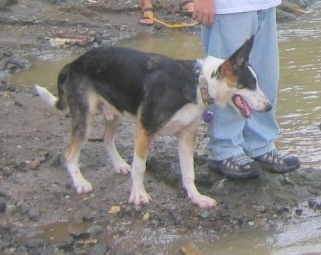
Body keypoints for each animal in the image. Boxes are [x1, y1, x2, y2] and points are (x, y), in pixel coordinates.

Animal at [35, 35, 270, 207]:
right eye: (249, 84)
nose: (268, 107)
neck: (196, 82)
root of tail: (73, 63)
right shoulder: (144, 130)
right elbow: (140, 166)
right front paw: (138, 194)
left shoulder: (186, 136)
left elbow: (189, 173)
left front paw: (196, 197)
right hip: (85, 118)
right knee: (69, 154)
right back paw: (80, 182)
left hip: (115, 113)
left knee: (106, 138)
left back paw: (119, 165)